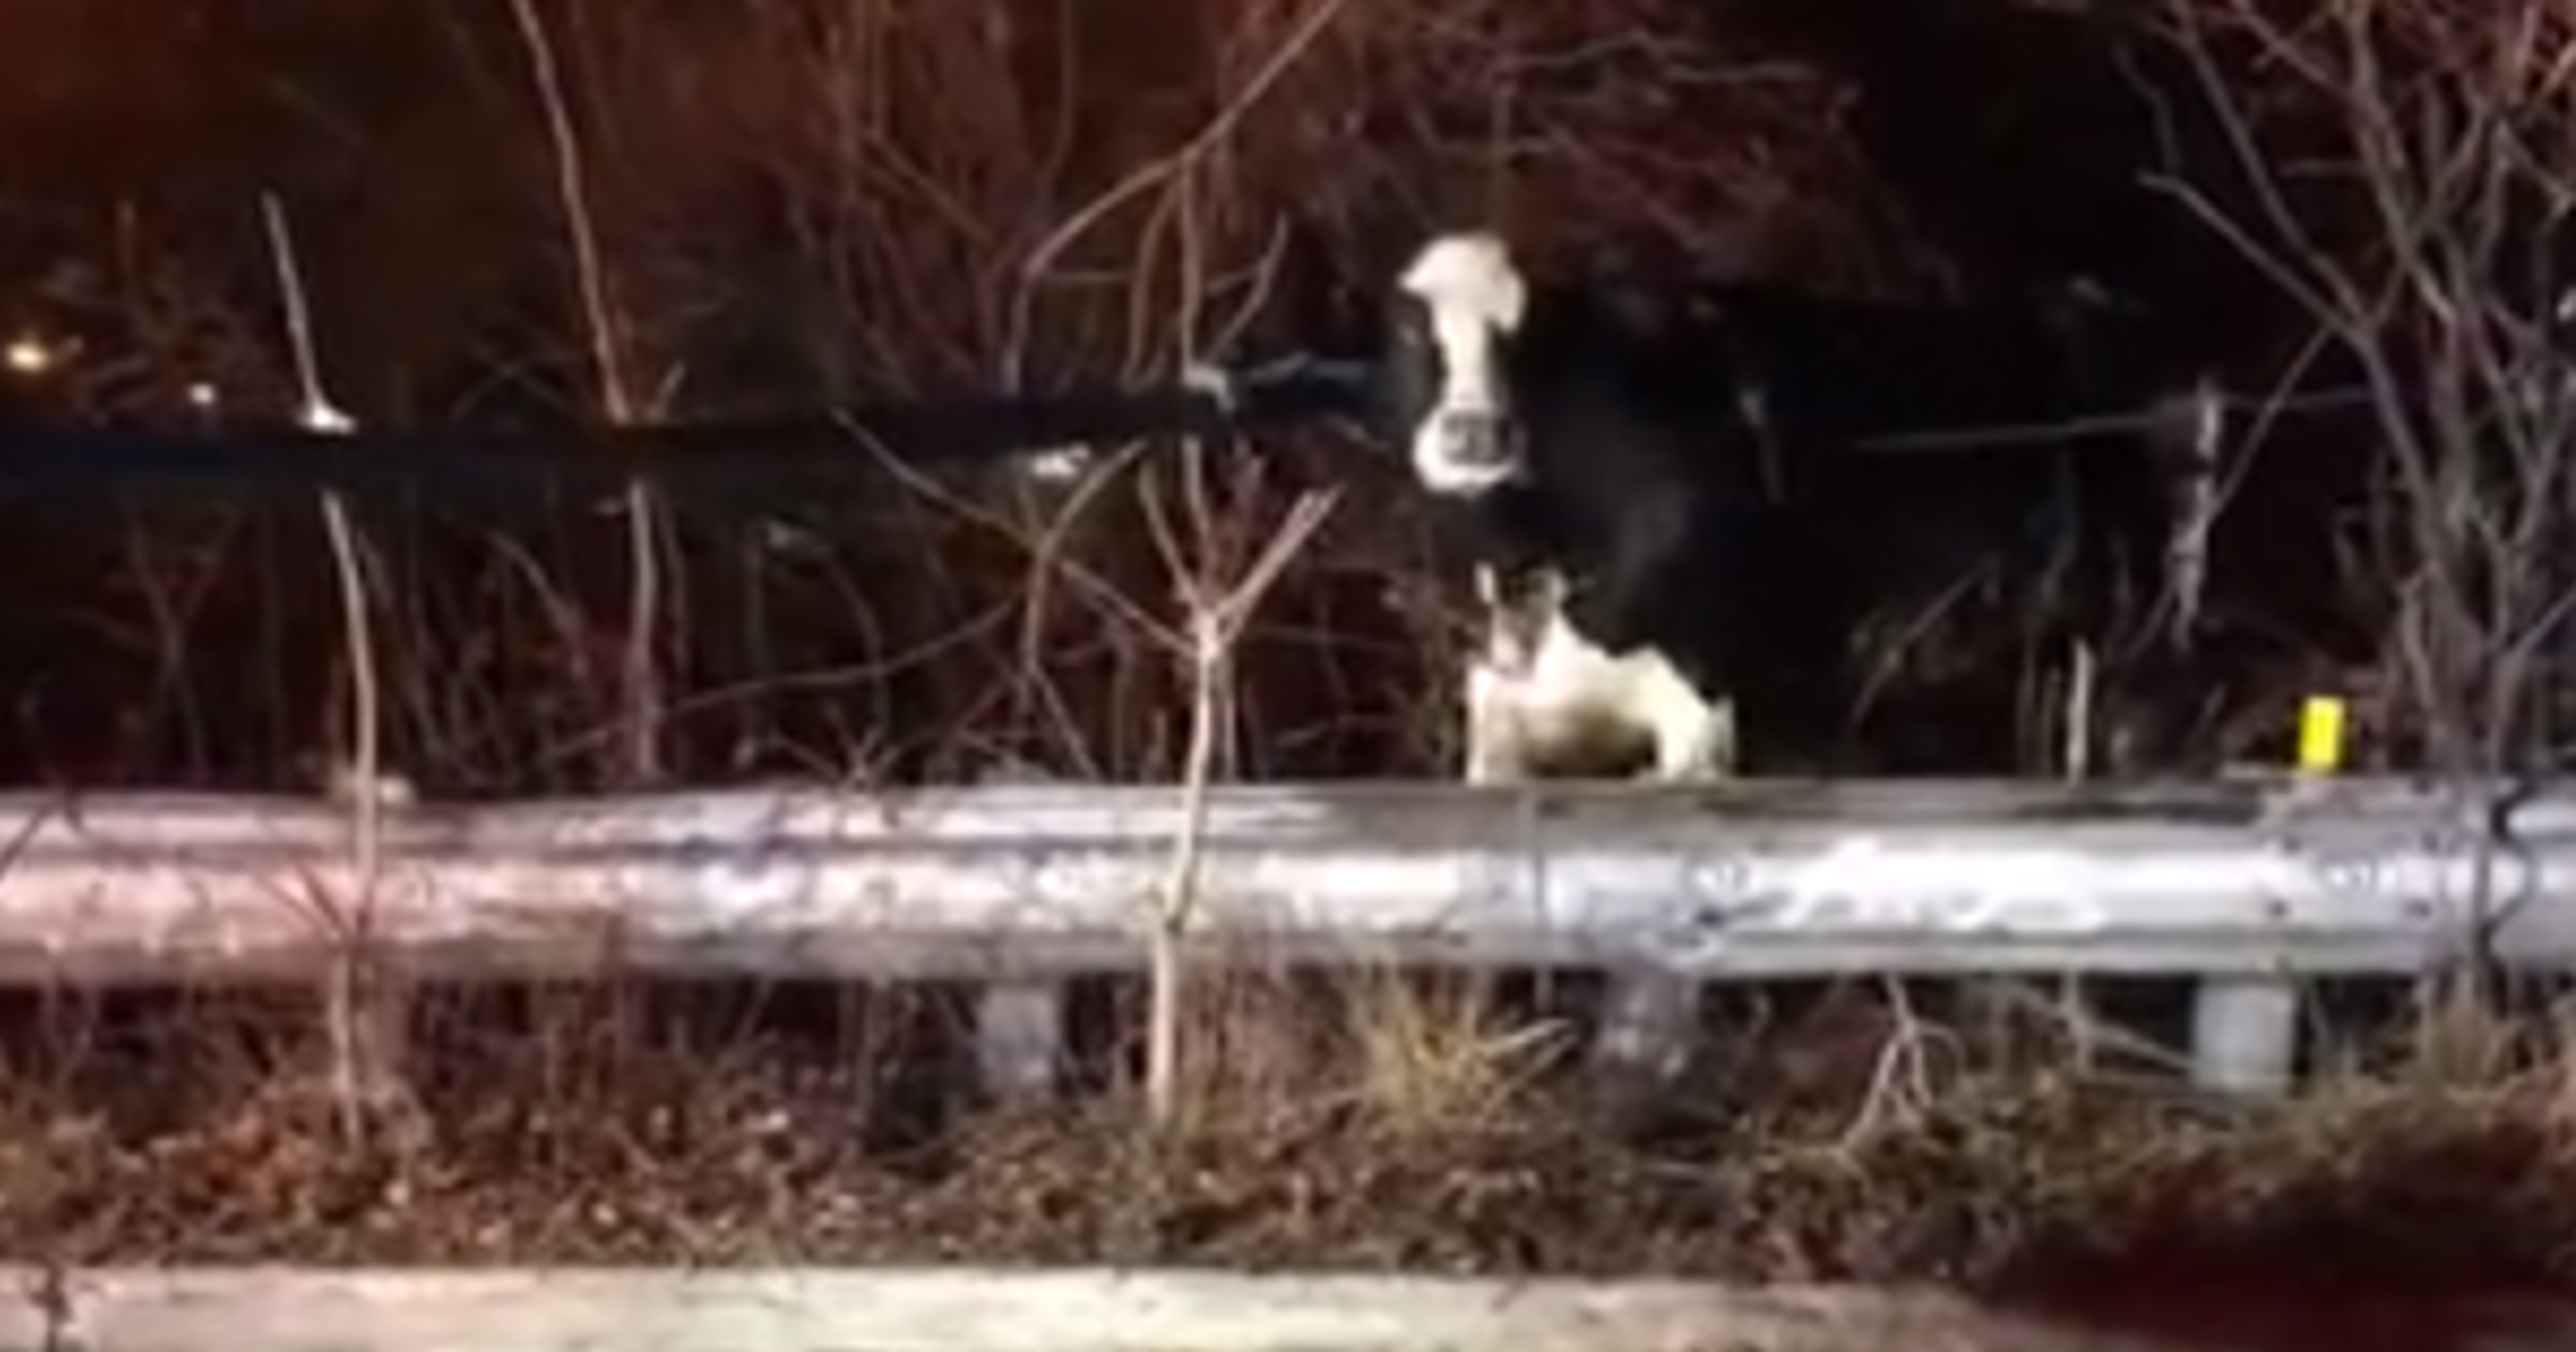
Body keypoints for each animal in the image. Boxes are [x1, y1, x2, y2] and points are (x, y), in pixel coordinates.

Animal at [1317, 228, 2225, 782]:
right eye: (1410, 337)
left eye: (1532, 340)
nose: (1474, 432)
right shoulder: (1500, 714)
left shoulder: (1701, 718)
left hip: (2120, 663)